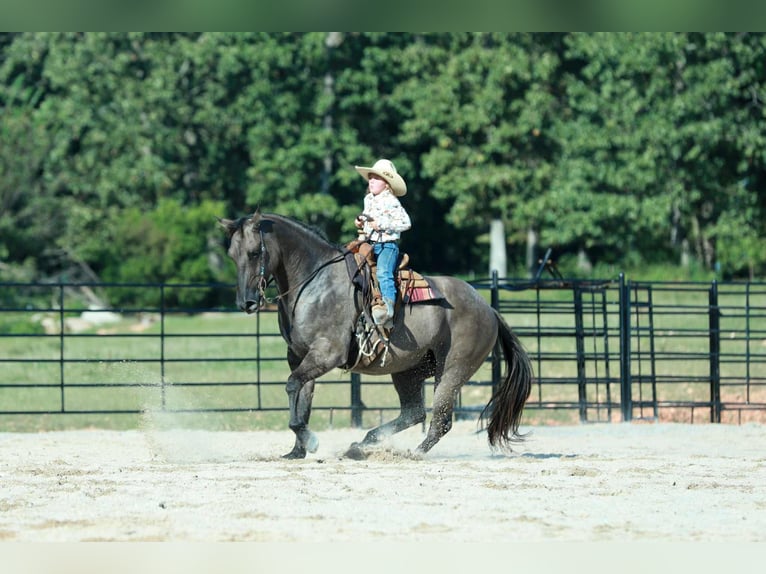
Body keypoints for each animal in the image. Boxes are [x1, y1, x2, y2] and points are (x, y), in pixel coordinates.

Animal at [219, 210, 532, 459]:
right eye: (232, 255)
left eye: (255, 252)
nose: (246, 303)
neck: (315, 282)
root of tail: (488, 308)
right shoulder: (300, 357)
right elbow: (301, 396)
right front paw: (297, 451)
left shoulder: (326, 353)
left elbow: (292, 386)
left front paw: (310, 440)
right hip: (408, 371)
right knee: (413, 413)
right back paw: (362, 445)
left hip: (453, 370)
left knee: (440, 420)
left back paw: (411, 453)